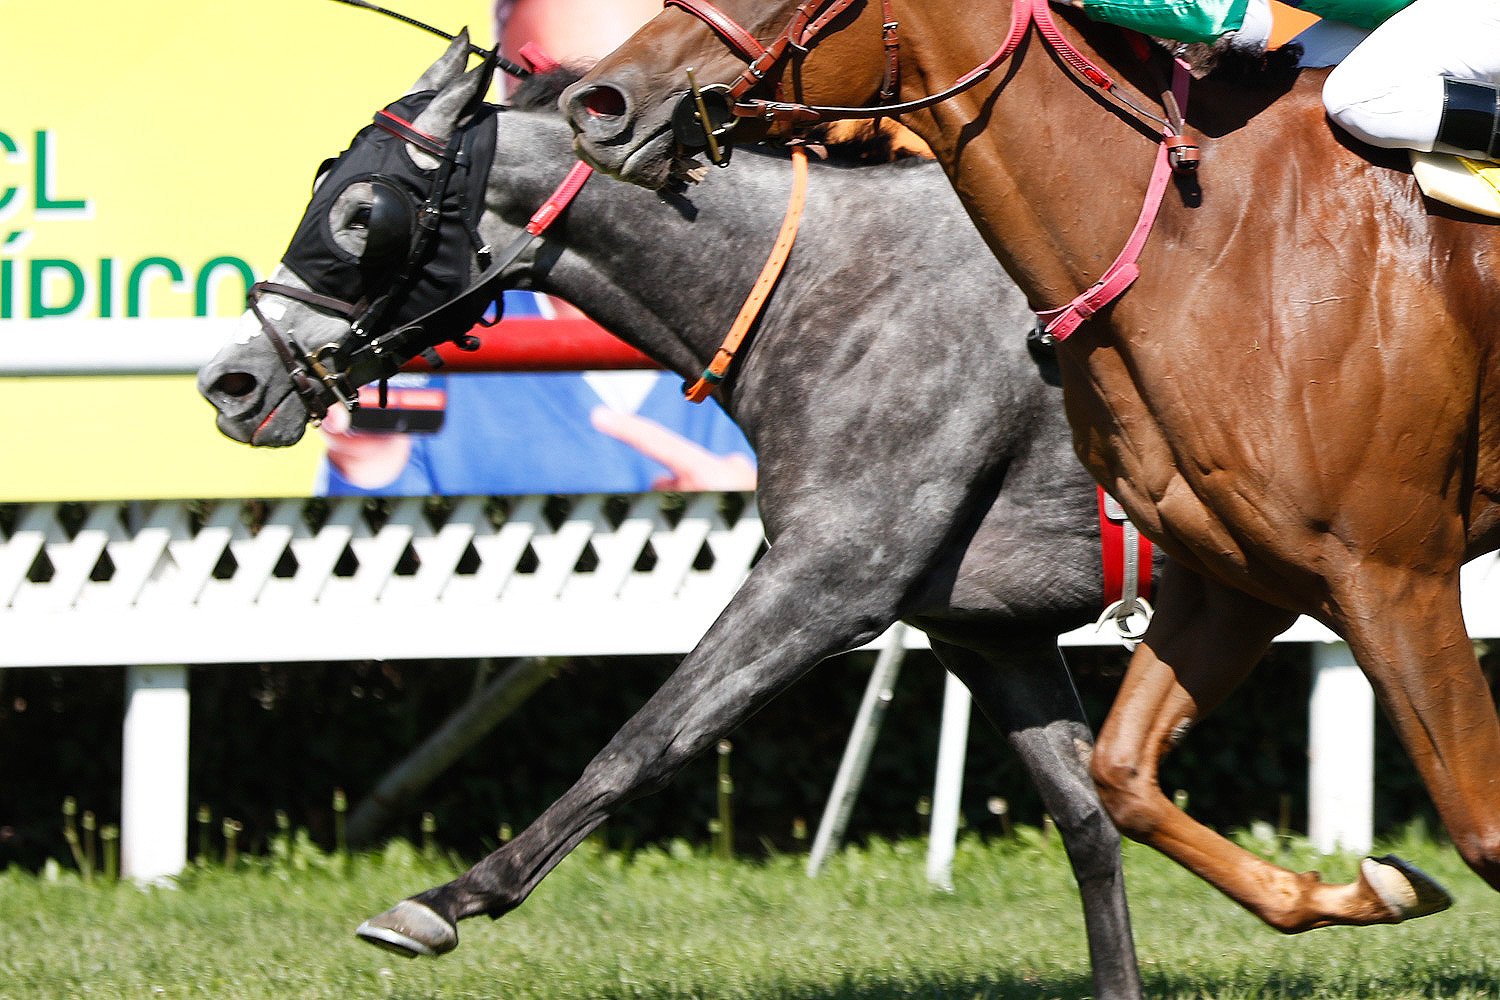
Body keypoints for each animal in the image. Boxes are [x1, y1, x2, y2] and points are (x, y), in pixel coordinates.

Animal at [196, 38, 1156, 998]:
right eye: (323, 185)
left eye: (363, 213)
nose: (230, 382)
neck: (836, 289)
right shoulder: (986, 628)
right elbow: (1086, 818)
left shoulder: (832, 576)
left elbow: (646, 740)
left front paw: (445, 901)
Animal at [562, 0, 1499, 936]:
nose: (600, 104)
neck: (1210, 241)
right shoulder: (1239, 576)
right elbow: (1119, 779)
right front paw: (1361, 888)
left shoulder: (1390, 574)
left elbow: (1482, 829)